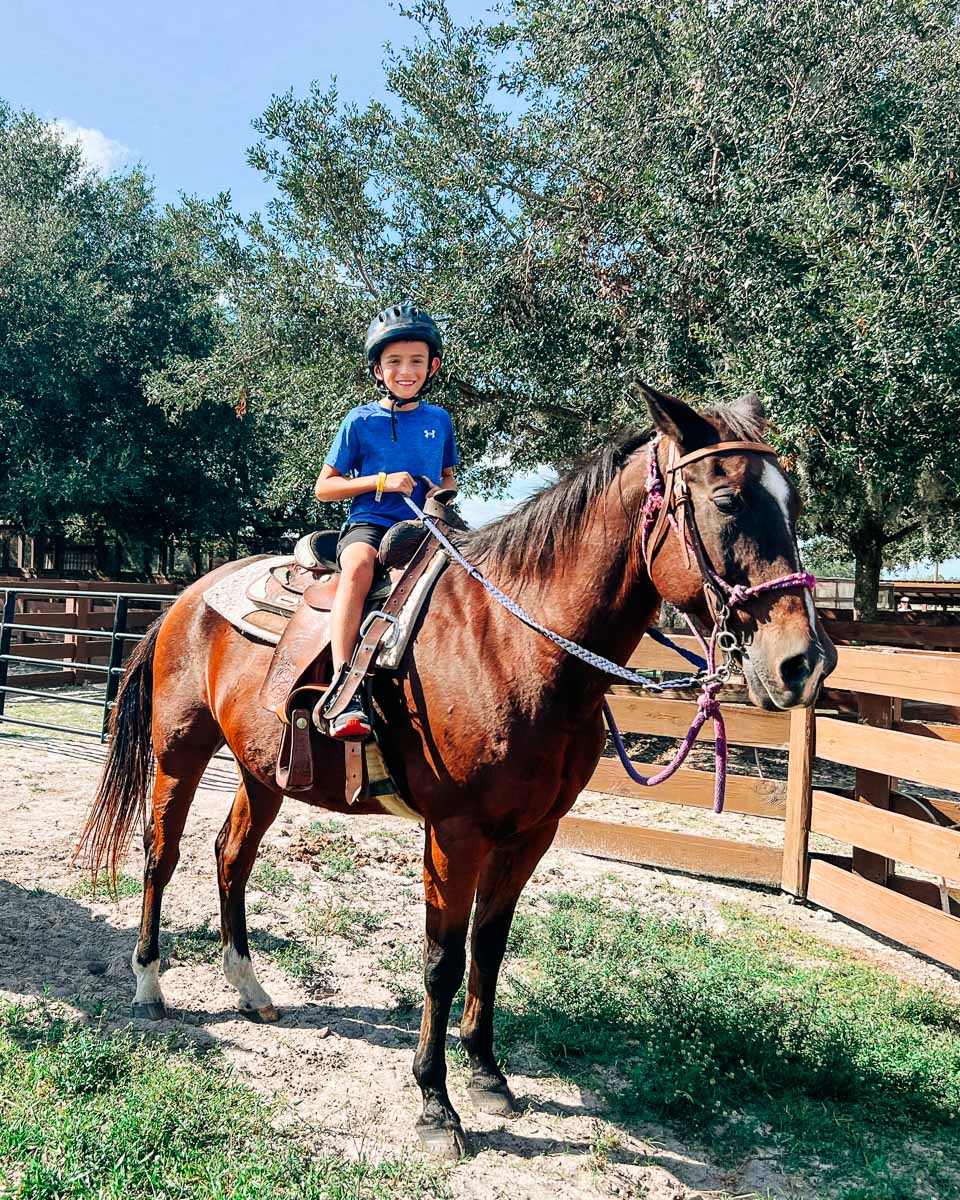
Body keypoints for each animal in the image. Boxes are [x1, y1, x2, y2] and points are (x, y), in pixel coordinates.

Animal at [80, 388, 830, 1156]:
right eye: (726, 498)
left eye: (793, 500)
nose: (804, 662)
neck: (512, 643)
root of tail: (188, 594)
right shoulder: (455, 833)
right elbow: (440, 960)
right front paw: (435, 1103)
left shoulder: (531, 833)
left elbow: (488, 949)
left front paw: (487, 1075)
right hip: (180, 751)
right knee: (161, 854)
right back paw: (149, 985)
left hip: (265, 773)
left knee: (231, 857)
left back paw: (250, 989)